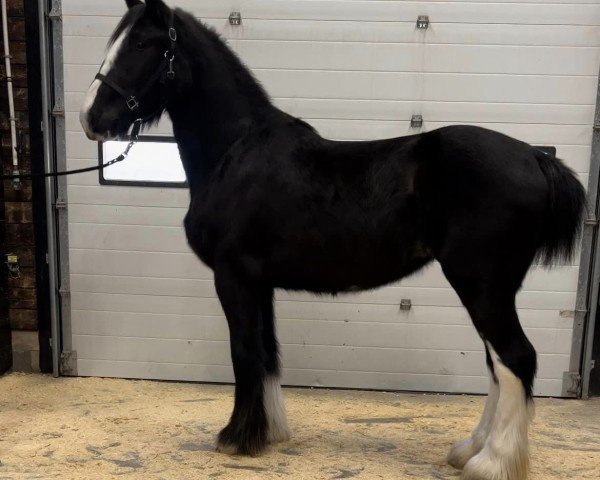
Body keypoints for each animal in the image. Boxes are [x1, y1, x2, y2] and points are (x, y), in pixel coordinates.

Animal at [79, 1, 584, 478]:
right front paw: (271, 433)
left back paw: (492, 463)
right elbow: (267, 353)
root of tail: (536, 158)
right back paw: (469, 451)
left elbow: (243, 352)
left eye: (141, 44)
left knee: (515, 357)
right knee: (498, 365)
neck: (237, 152)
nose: (90, 117)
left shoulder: (233, 276)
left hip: (481, 286)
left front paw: (237, 439)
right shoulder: (260, 284)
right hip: (488, 290)